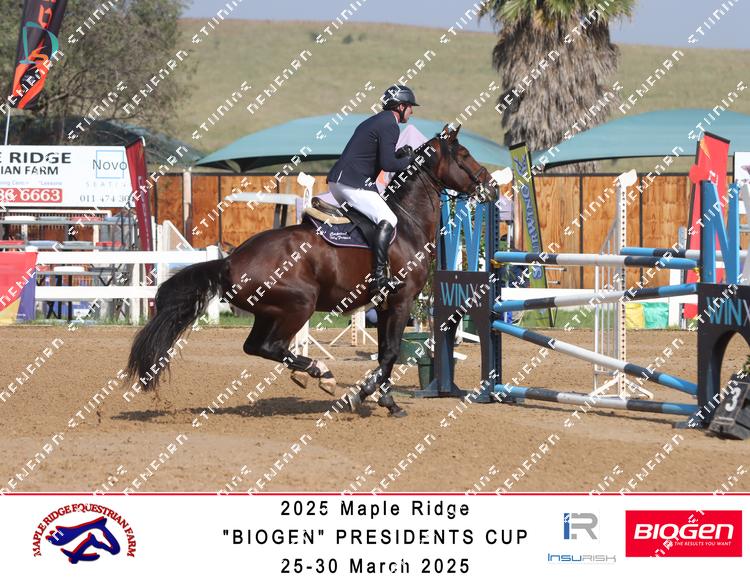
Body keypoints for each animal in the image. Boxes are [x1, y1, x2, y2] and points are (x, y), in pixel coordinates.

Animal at [126, 124, 494, 417]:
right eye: (464, 154)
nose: (490, 186)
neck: (406, 225)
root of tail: (231, 260)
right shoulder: (401, 302)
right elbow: (389, 353)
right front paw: (365, 397)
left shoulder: (385, 306)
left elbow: (383, 355)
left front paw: (384, 400)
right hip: (299, 304)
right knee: (270, 347)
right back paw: (320, 374)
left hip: (270, 311)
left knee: (256, 346)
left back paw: (309, 373)